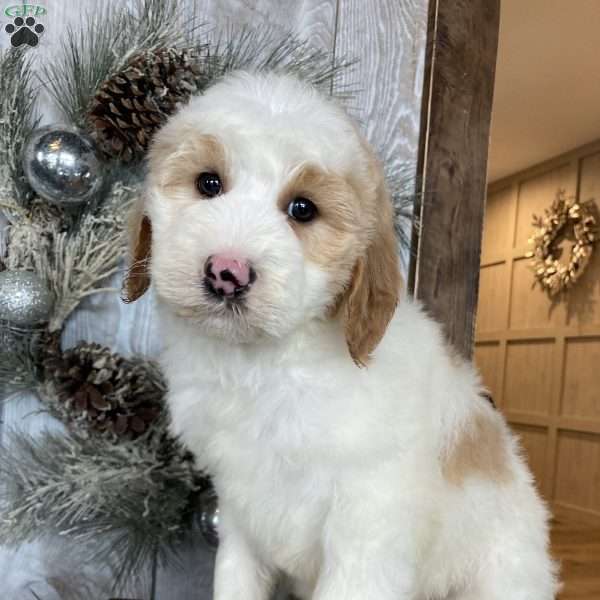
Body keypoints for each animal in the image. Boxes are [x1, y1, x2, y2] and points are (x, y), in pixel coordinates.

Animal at [124, 72, 560, 596]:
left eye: (302, 209)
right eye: (208, 183)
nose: (227, 272)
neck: (268, 366)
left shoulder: (366, 526)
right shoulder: (240, 515)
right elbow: (235, 579)